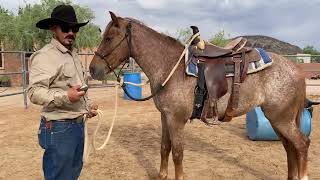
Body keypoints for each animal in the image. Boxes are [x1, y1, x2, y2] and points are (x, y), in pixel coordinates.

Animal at [89, 11, 308, 179]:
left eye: (109, 38)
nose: (92, 69)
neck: (170, 66)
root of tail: (296, 69)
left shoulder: (176, 119)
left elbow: (177, 153)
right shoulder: (165, 116)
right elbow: (164, 147)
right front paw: (162, 175)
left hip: (281, 119)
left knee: (301, 144)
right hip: (279, 120)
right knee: (290, 148)